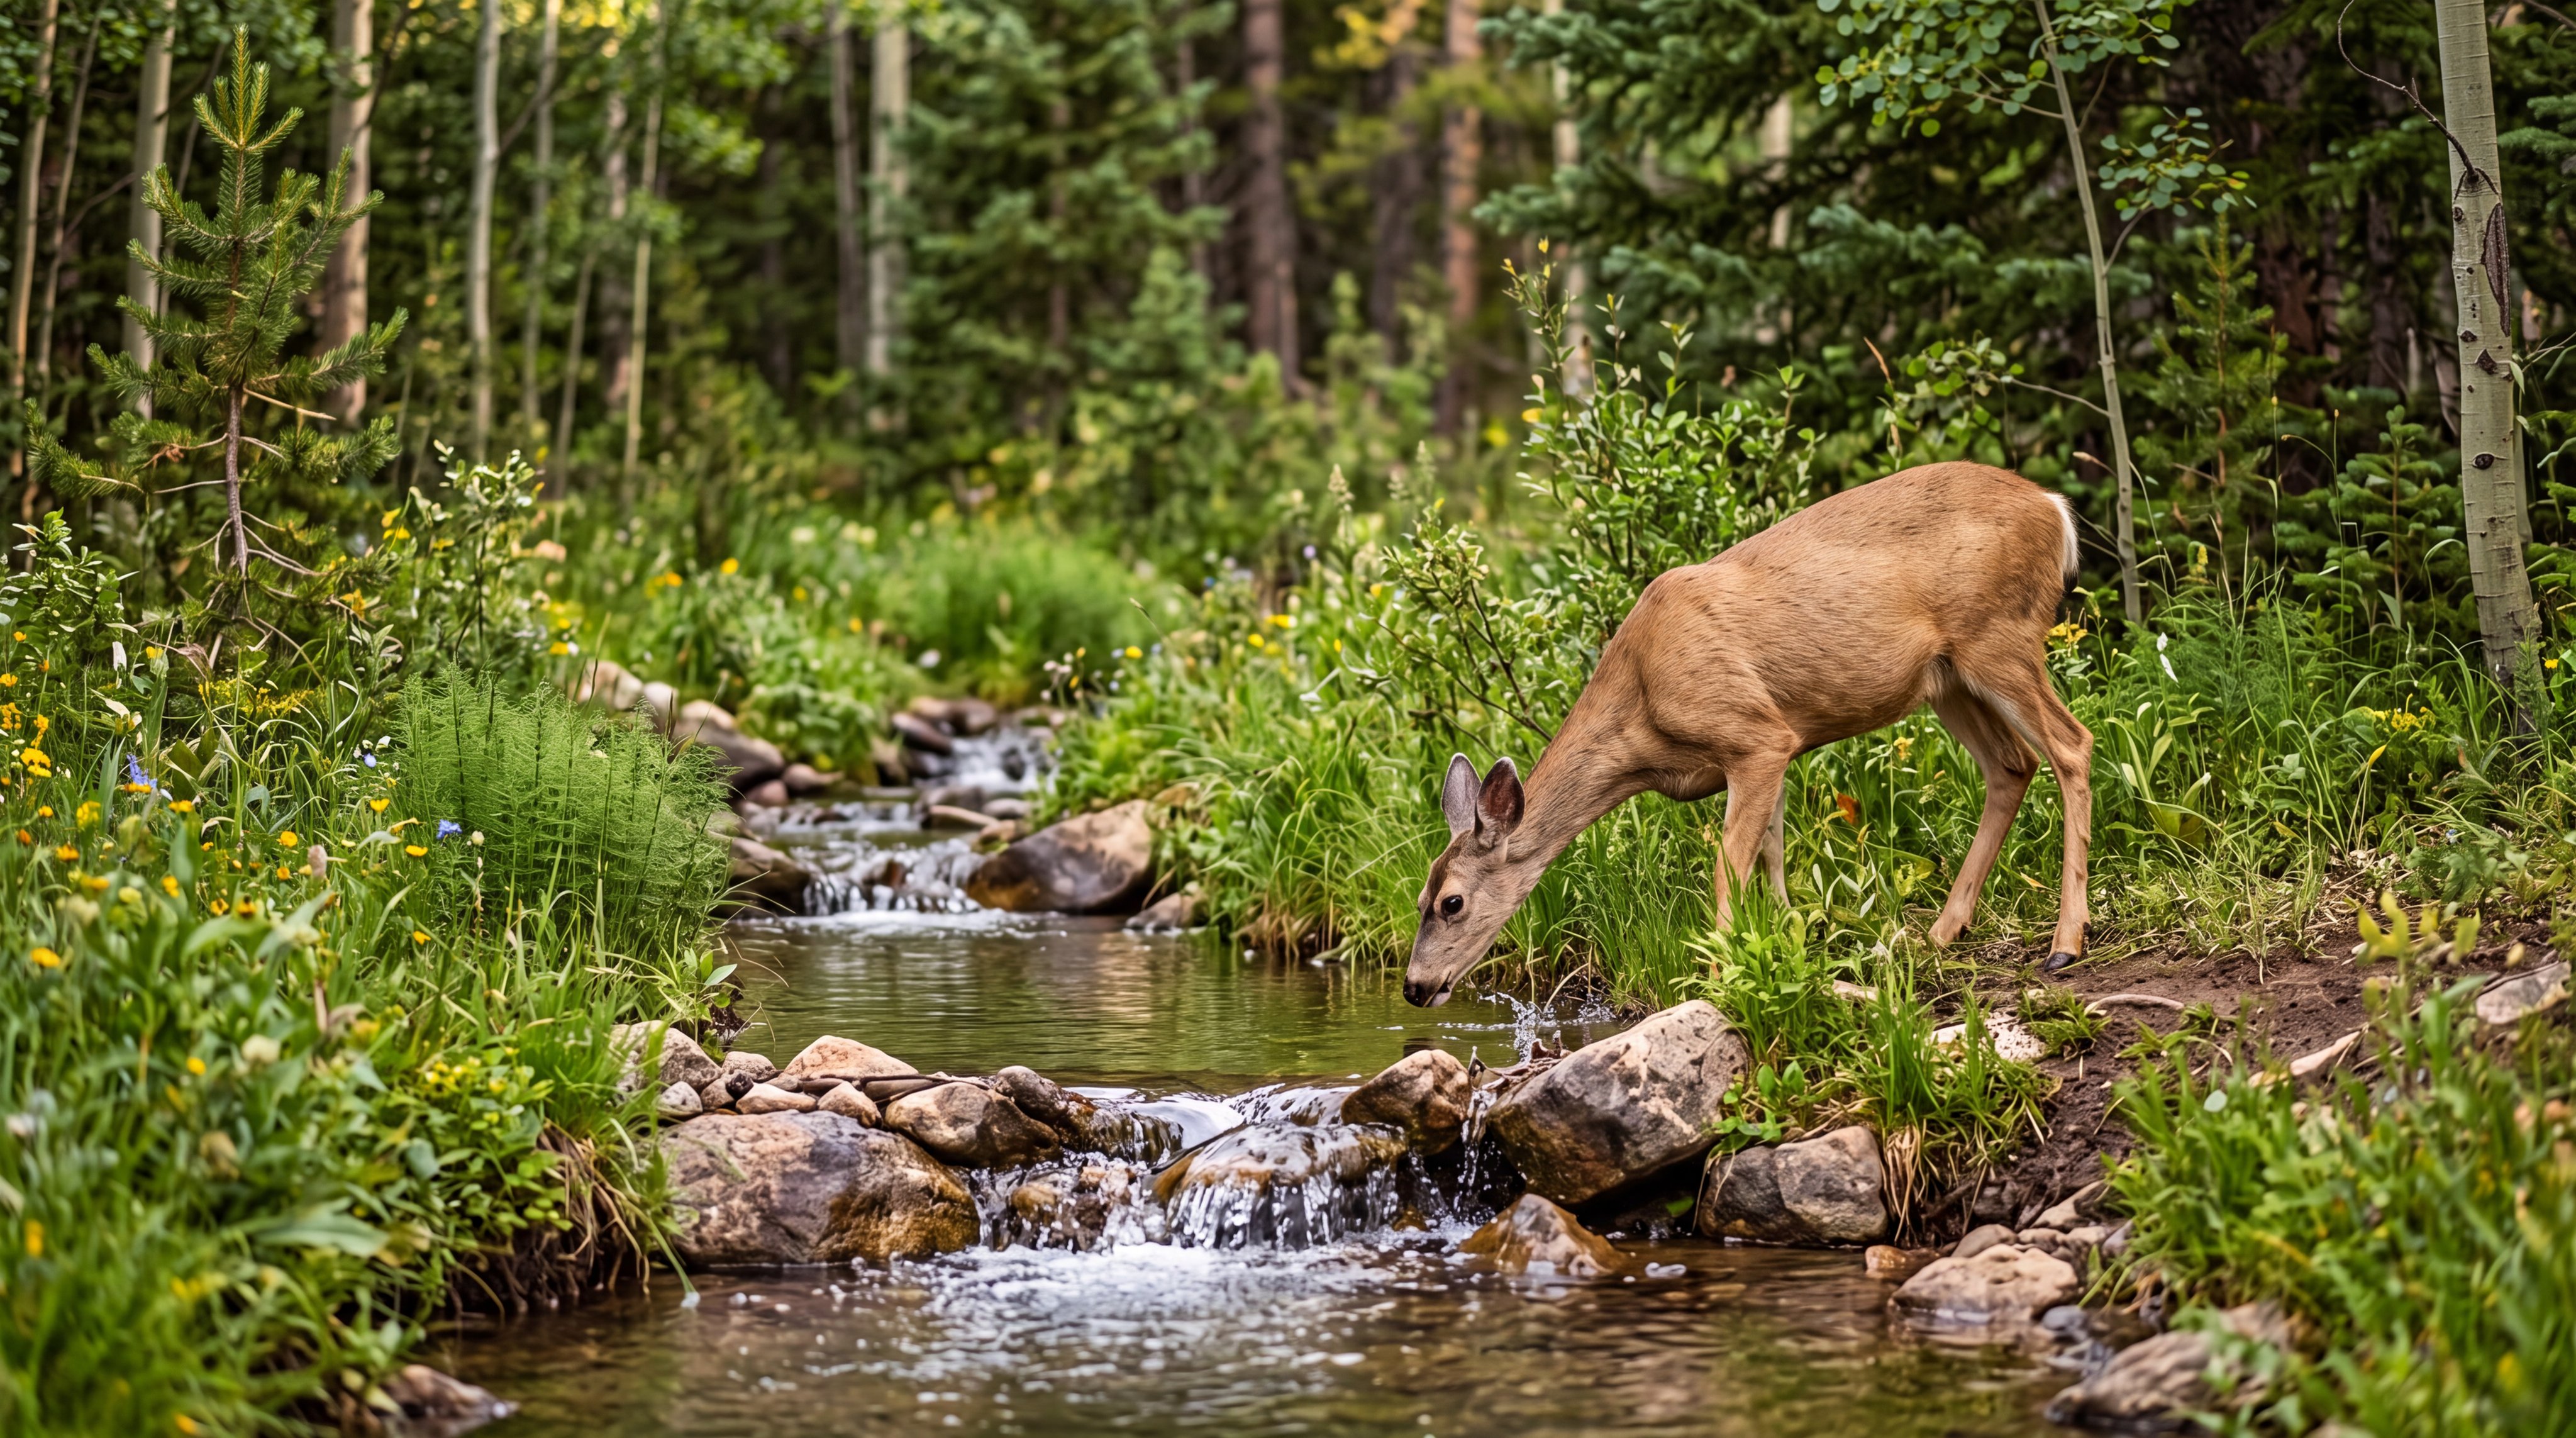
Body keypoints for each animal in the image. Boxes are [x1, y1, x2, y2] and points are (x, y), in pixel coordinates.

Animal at [1405, 461, 2093, 1007]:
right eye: (1419, 898)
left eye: (1451, 903)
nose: (1414, 987)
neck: (1643, 717)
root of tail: (2053, 507)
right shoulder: (1778, 742)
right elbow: (1772, 856)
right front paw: (1790, 947)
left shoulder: (1754, 736)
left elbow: (1728, 869)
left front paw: (1718, 977)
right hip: (1948, 678)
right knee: (2011, 765)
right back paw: (1940, 932)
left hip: (1999, 634)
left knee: (2070, 745)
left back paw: (2065, 945)